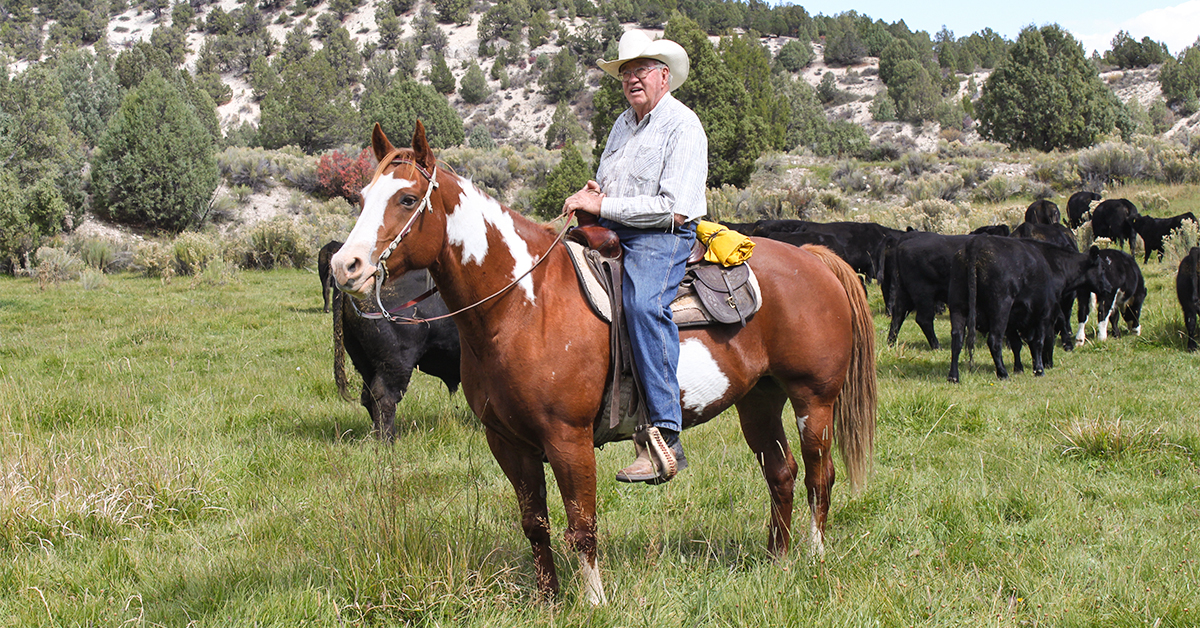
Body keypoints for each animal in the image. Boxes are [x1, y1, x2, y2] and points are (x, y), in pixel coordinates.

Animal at [950, 237, 1108, 381]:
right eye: (1102, 268)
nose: (1109, 286)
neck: (1056, 266)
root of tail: (977, 242)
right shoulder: (1044, 313)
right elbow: (1038, 341)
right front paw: (1039, 369)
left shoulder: (1014, 319)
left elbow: (1017, 344)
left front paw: (1019, 368)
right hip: (1000, 308)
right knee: (994, 340)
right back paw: (1003, 373)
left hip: (958, 306)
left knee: (957, 338)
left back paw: (953, 376)